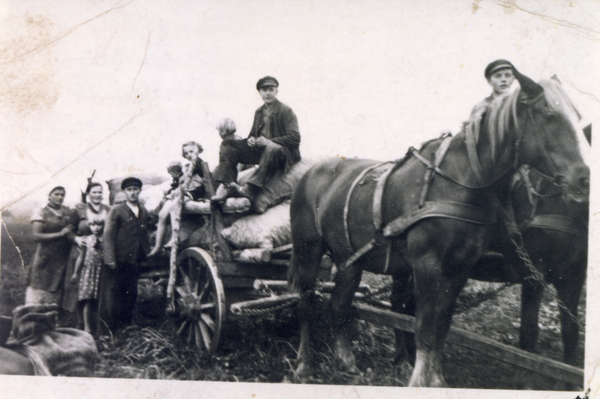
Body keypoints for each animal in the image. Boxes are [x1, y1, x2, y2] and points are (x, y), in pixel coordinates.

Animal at [288, 76, 588, 390]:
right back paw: (304, 366)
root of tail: (310, 173)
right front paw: (420, 381)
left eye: (578, 118)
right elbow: (427, 326)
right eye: (550, 115)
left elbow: (442, 325)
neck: (457, 181)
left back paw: (347, 363)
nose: (584, 179)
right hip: (309, 251)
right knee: (306, 303)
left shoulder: (460, 269)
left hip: (350, 259)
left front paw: (436, 380)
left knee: (340, 305)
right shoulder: (431, 266)